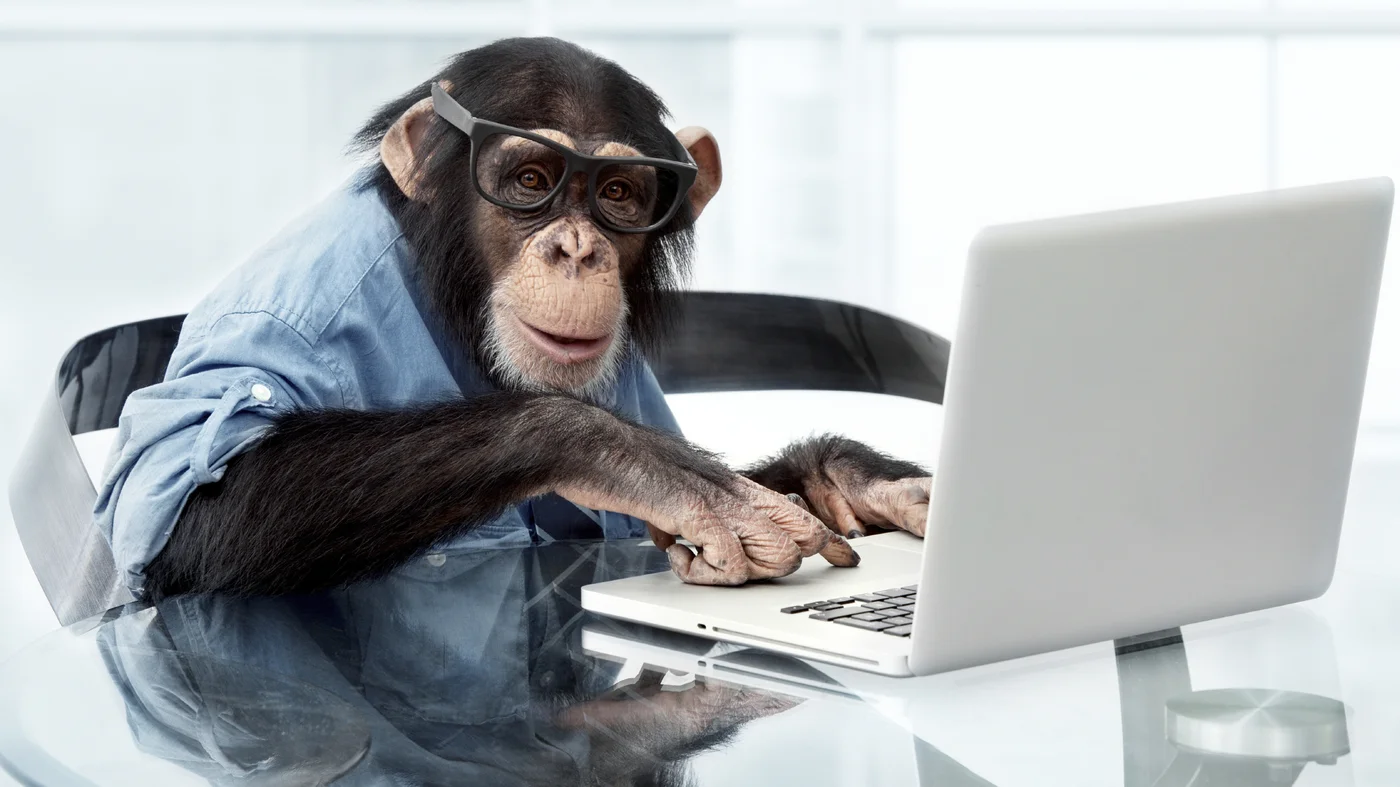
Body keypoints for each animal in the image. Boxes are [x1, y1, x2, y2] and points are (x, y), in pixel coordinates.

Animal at [93, 37, 932, 600]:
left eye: (619, 194)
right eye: (531, 180)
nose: (576, 248)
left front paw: (850, 478)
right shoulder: (294, 308)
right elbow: (190, 502)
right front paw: (642, 462)